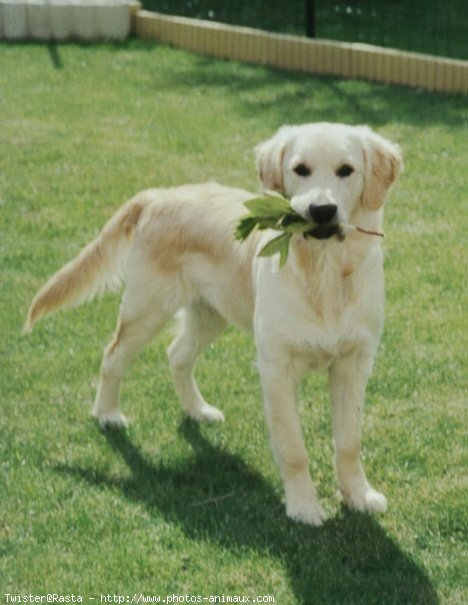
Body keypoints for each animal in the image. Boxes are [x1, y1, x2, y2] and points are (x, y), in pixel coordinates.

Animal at [24, 121, 402, 524]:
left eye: (346, 170)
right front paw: (303, 506)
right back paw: (108, 414)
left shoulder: (354, 364)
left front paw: (359, 496)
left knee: (176, 354)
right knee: (113, 354)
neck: (325, 274)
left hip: (211, 313)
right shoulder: (276, 368)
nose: (322, 210)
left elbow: (349, 443)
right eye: (301, 169)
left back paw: (198, 410)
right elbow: (293, 448)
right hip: (148, 309)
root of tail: (157, 196)